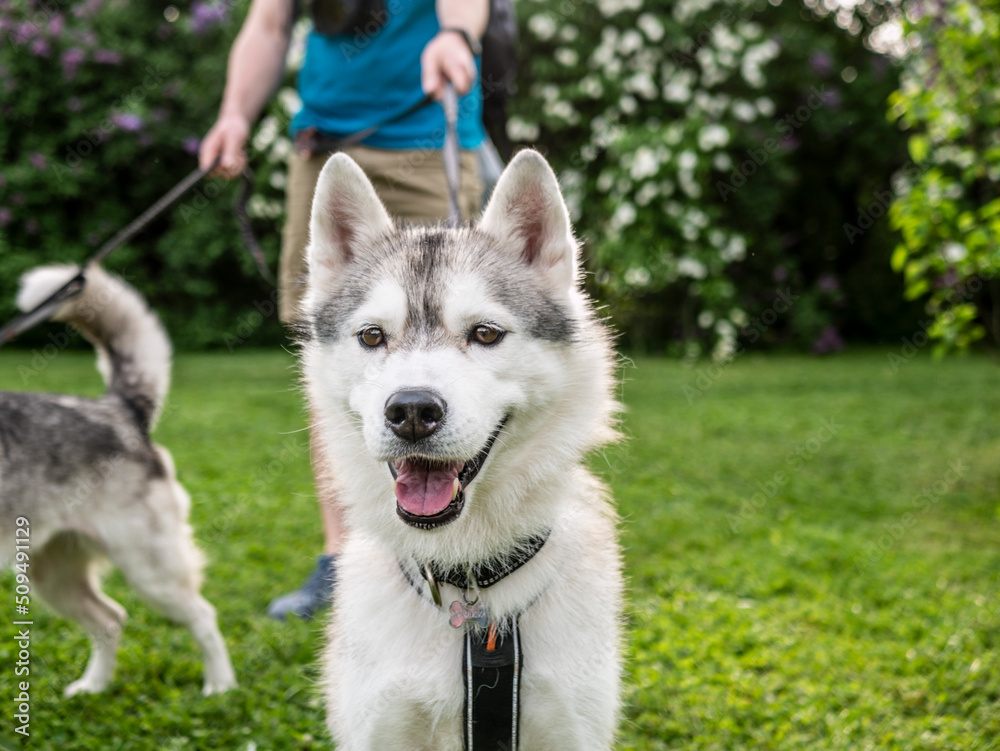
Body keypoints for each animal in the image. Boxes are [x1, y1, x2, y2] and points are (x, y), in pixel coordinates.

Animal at [0, 266, 236, 700]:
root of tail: (119, 409)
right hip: (54, 576)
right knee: (110, 618)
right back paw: (94, 686)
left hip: (151, 571)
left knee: (203, 616)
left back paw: (220, 686)